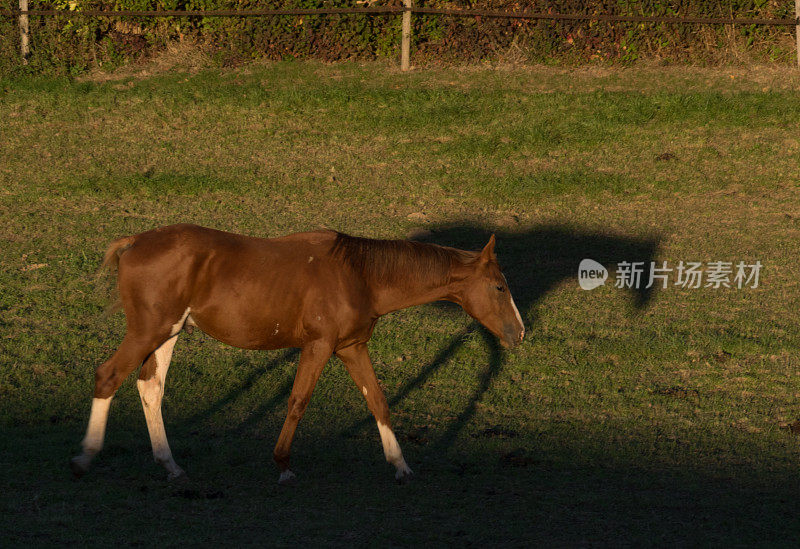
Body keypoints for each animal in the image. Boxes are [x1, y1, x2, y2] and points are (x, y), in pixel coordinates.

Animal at [70, 223, 524, 484]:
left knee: (150, 387)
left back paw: (171, 465)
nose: (519, 332)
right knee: (108, 376)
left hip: (167, 333)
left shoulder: (351, 348)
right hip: (148, 332)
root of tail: (136, 242)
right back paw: (86, 456)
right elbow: (298, 401)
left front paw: (400, 464)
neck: (358, 274)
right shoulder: (319, 346)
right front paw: (283, 464)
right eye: (499, 286)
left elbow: (378, 401)